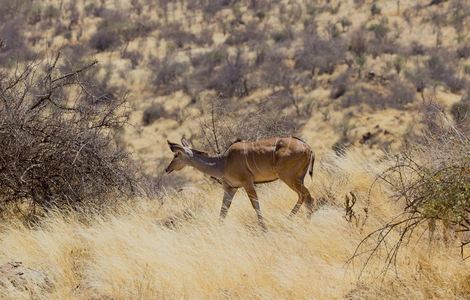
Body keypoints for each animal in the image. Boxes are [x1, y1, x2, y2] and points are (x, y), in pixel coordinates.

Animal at [165, 137, 316, 230]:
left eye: (176, 155)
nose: (167, 169)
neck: (223, 163)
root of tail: (308, 148)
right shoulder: (230, 188)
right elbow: (223, 210)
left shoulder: (247, 183)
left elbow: (255, 205)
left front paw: (264, 229)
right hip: (297, 178)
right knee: (304, 196)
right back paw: (294, 219)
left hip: (288, 177)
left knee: (307, 196)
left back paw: (297, 220)